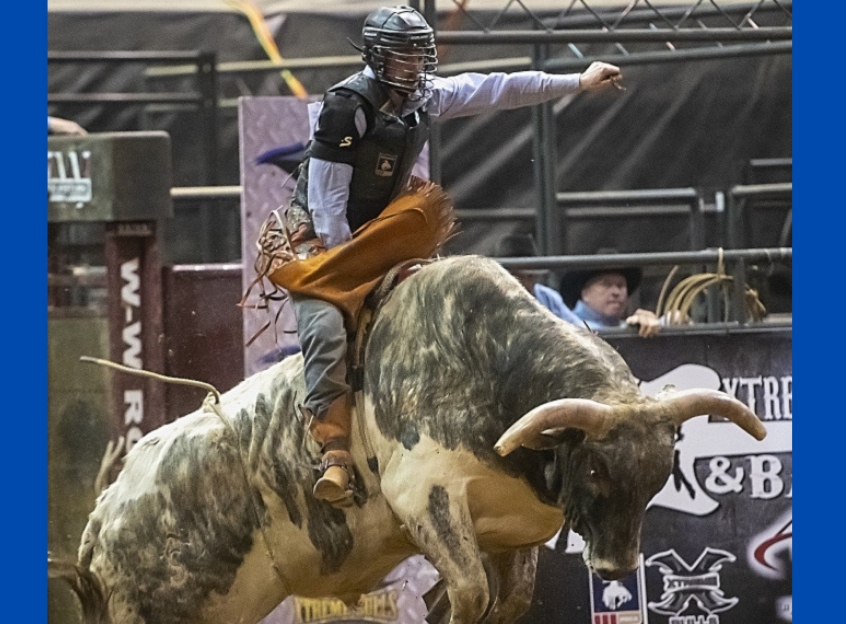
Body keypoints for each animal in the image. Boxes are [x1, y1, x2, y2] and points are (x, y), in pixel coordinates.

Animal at [51, 255, 768, 624]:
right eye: (595, 470)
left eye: (660, 474)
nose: (617, 569)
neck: (491, 367)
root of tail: (102, 519)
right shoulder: (426, 494)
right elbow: (471, 592)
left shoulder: (511, 531)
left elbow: (504, 601)